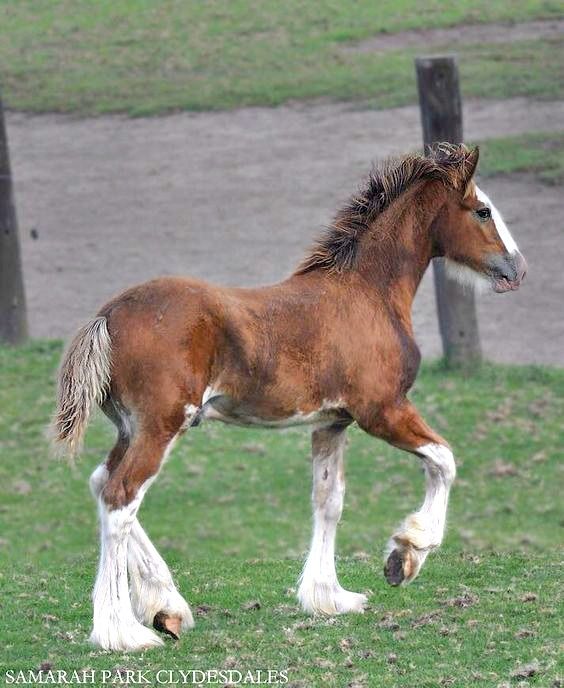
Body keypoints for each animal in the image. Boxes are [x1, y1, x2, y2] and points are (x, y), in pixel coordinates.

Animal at [51, 144, 524, 652]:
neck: (367, 294)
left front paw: (329, 597)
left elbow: (329, 499)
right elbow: (444, 460)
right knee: (121, 498)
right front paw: (405, 555)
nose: (517, 268)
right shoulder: (383, 411)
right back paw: (122, 631)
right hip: (161, 426)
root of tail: (107, 315)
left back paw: (167, 607)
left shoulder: (332, 422)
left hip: (131, 428)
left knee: (102, 482)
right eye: (482, 210)